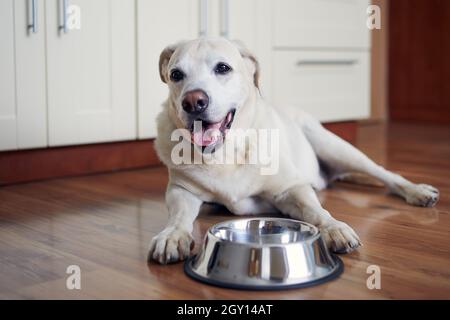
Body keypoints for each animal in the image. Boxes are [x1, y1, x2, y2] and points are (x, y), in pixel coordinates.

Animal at [149, 37, 438, 264]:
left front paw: (333, 227)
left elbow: (316, 211)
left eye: (222, 68)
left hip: (335, 146)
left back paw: (417, 191)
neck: (227, 153)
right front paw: (172, 235)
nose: (193, 102)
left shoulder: (291, 188)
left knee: (386, 174)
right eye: (176, 75)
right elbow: (178, 216)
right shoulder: (181, 191)